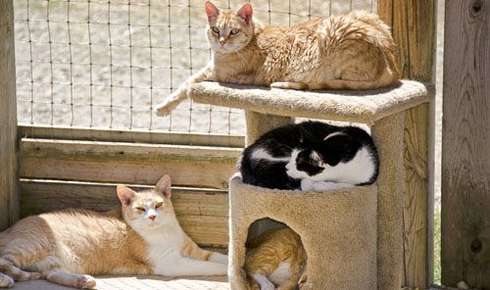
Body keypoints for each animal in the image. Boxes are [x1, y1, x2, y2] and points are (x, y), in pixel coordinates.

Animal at [0, 176, 228, 288]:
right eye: (140, 209)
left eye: (158, 205)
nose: (152, 216)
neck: (164, 232)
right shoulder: (172, 263)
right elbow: (210, 267)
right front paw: (227, 273)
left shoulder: (195, 251)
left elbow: (219, 257)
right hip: (30, 247)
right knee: (5, 262)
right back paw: (5, 280)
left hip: (55, 260)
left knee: (51, 273)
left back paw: (82, 281)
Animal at [156, 1, 398, 116]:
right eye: (216, 30)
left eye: (233, 31)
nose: (222, 41)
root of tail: (392, 66)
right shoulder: (210, 70)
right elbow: (187, 82)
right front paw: (165, 105)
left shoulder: (220, 75)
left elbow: (188, 85)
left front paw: (164, 107)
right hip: (364, 16)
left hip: (330, 33)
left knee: (319, 83)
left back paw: (284, 83)